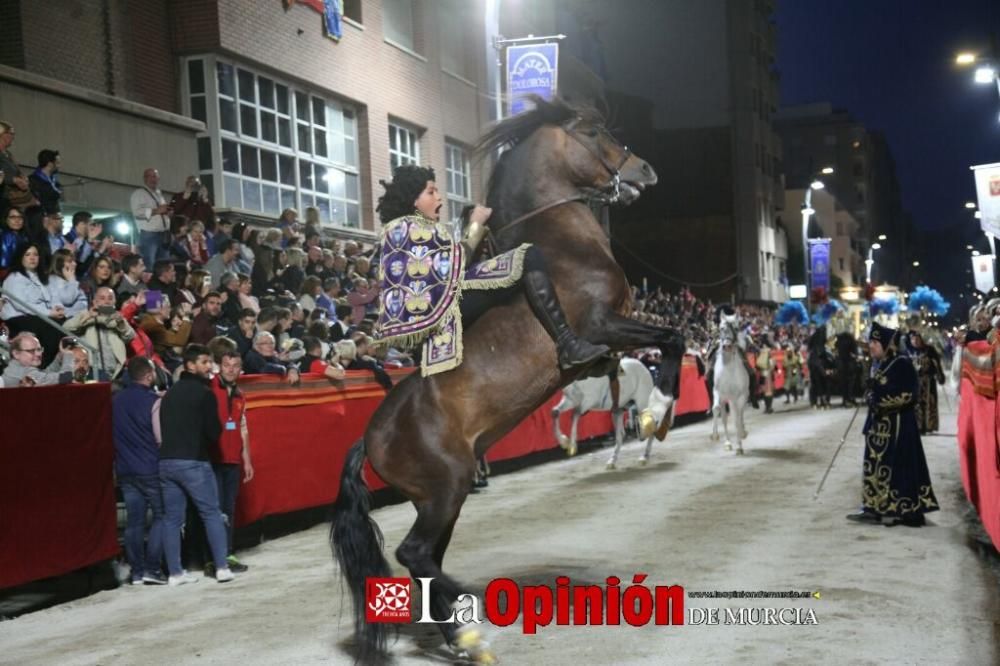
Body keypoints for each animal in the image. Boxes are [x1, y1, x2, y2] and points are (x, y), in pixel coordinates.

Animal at [332, 97, 684, 660]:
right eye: (594, 132)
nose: (644, 170)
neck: (564, 243)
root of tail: (370, 436)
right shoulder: (603, 326)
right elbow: (673, 338)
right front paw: (656, 411)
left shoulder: (612, 341)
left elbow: (670, 342)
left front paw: (658, 415)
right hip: (448, 486)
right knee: (414, 554)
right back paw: (469, 624)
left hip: (437, 499)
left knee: (423, 561)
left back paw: (461, 638)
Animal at [712, 314, 752, 454]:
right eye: (721, 328)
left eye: (736, 328)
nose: (727, 346)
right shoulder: (718, 392)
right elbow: (716, 409)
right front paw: (715, 436)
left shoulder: (741, 395)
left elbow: (737, 418)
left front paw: (739, 445)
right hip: (727, 399)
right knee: (725, 417)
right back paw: (728, 443)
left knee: (738, 415)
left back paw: (742, 435)